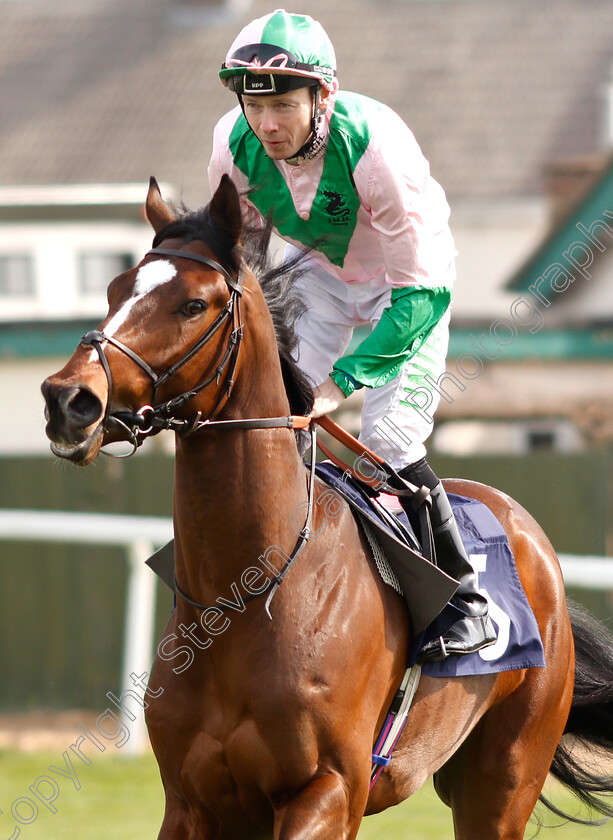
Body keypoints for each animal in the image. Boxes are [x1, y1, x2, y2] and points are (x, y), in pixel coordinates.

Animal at [43, 174, 613, 836]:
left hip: (502, 777)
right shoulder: (192, 803)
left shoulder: (330, 790)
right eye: (113, 290)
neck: (246, 594)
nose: (68, 399)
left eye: (193, 305)